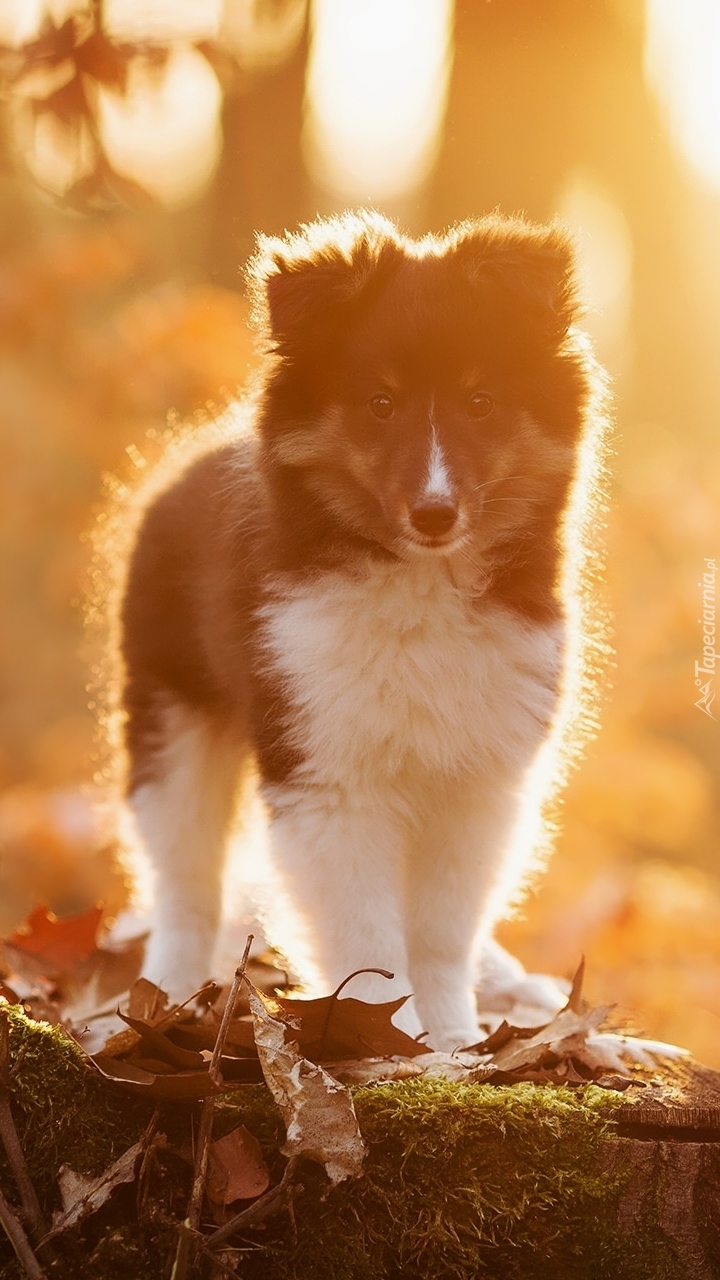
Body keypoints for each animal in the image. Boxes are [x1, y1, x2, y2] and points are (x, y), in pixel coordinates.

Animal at [116, 209, 599, 1049]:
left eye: (481, 401)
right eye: (380, 403)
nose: (435, 513)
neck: (421, 581)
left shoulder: (478, 778)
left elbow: (442, 931)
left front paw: (456, 1042)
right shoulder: (330, 771)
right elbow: (370, 939)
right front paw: (389, 1041)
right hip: (173, 713)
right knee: (184, 879)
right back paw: (167, 992)